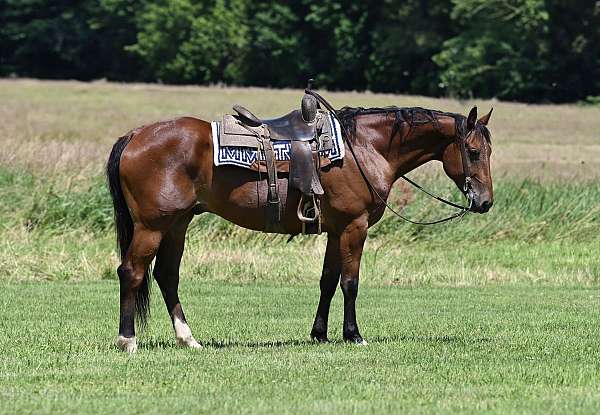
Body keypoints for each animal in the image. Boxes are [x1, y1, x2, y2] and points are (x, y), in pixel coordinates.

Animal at [106, 98, 492, 354]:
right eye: (473, 152)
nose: (485, 201)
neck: (364, 149)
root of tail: (136, 135)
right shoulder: (354, 227)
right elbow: (350, 283)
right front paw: (353, 335)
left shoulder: (336, 230)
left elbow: (328, 282)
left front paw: (319, 333)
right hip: (152, 226)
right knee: (132, 271)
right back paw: (128, 339)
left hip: (177, 225)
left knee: (166, 276)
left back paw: (188, 339)